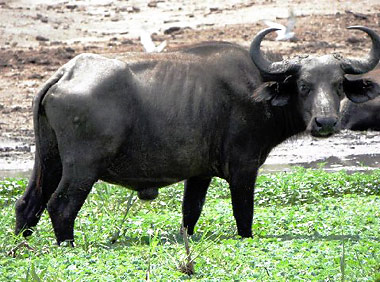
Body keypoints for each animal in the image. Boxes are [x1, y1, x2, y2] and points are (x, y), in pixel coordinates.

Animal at [14, 25, 380, 245]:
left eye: (338, 85)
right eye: (304, 85)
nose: (326, 122)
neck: (256, 88)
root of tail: (68, 71)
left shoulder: (200, 173)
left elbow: (191, 213)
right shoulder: (244, 168)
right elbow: (243, 216)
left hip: (48, 160)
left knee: (28, 204)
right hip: (83, 167)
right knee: (61, 206)